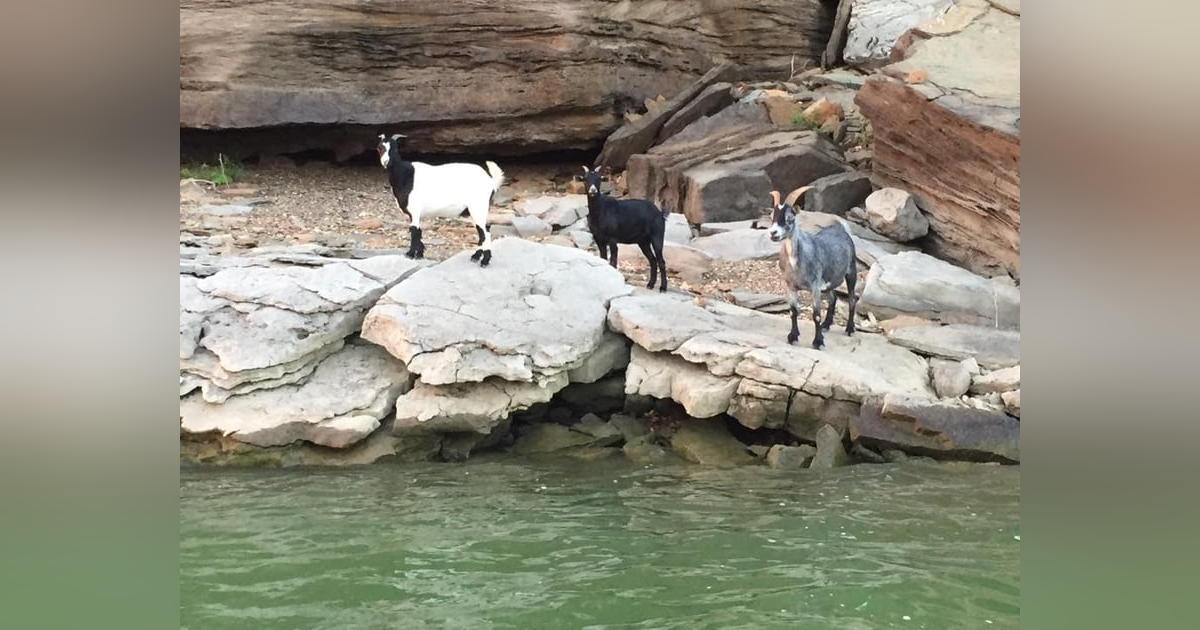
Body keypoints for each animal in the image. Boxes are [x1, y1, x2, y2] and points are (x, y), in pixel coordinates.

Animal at [376, 133, 505, 266]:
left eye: (395, 149)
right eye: (379, 148)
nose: (386, 162)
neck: (406, 175)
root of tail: (491, 181)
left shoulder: (415, 209)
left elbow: (414, 231)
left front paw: (410, 254)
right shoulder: (414, 214)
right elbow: (419, 231)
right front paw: (420, 254)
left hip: (479, 207)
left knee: (485, 233)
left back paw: (484, 261)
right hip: (473, 211)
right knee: (482, 231)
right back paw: (475, 256)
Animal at [767, 186, 858, 349]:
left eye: (790, 217)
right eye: (772, 216)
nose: (773, 233)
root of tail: (842, 229)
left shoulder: (815, 286)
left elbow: (816, 315)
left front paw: (818, 342)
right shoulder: (791, 286)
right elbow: (793, 311)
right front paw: (793, 337)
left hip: (851, 271)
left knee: (852, 299)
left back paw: (850, 329)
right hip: (829, 280)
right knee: (833, 297)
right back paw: (826, 325)